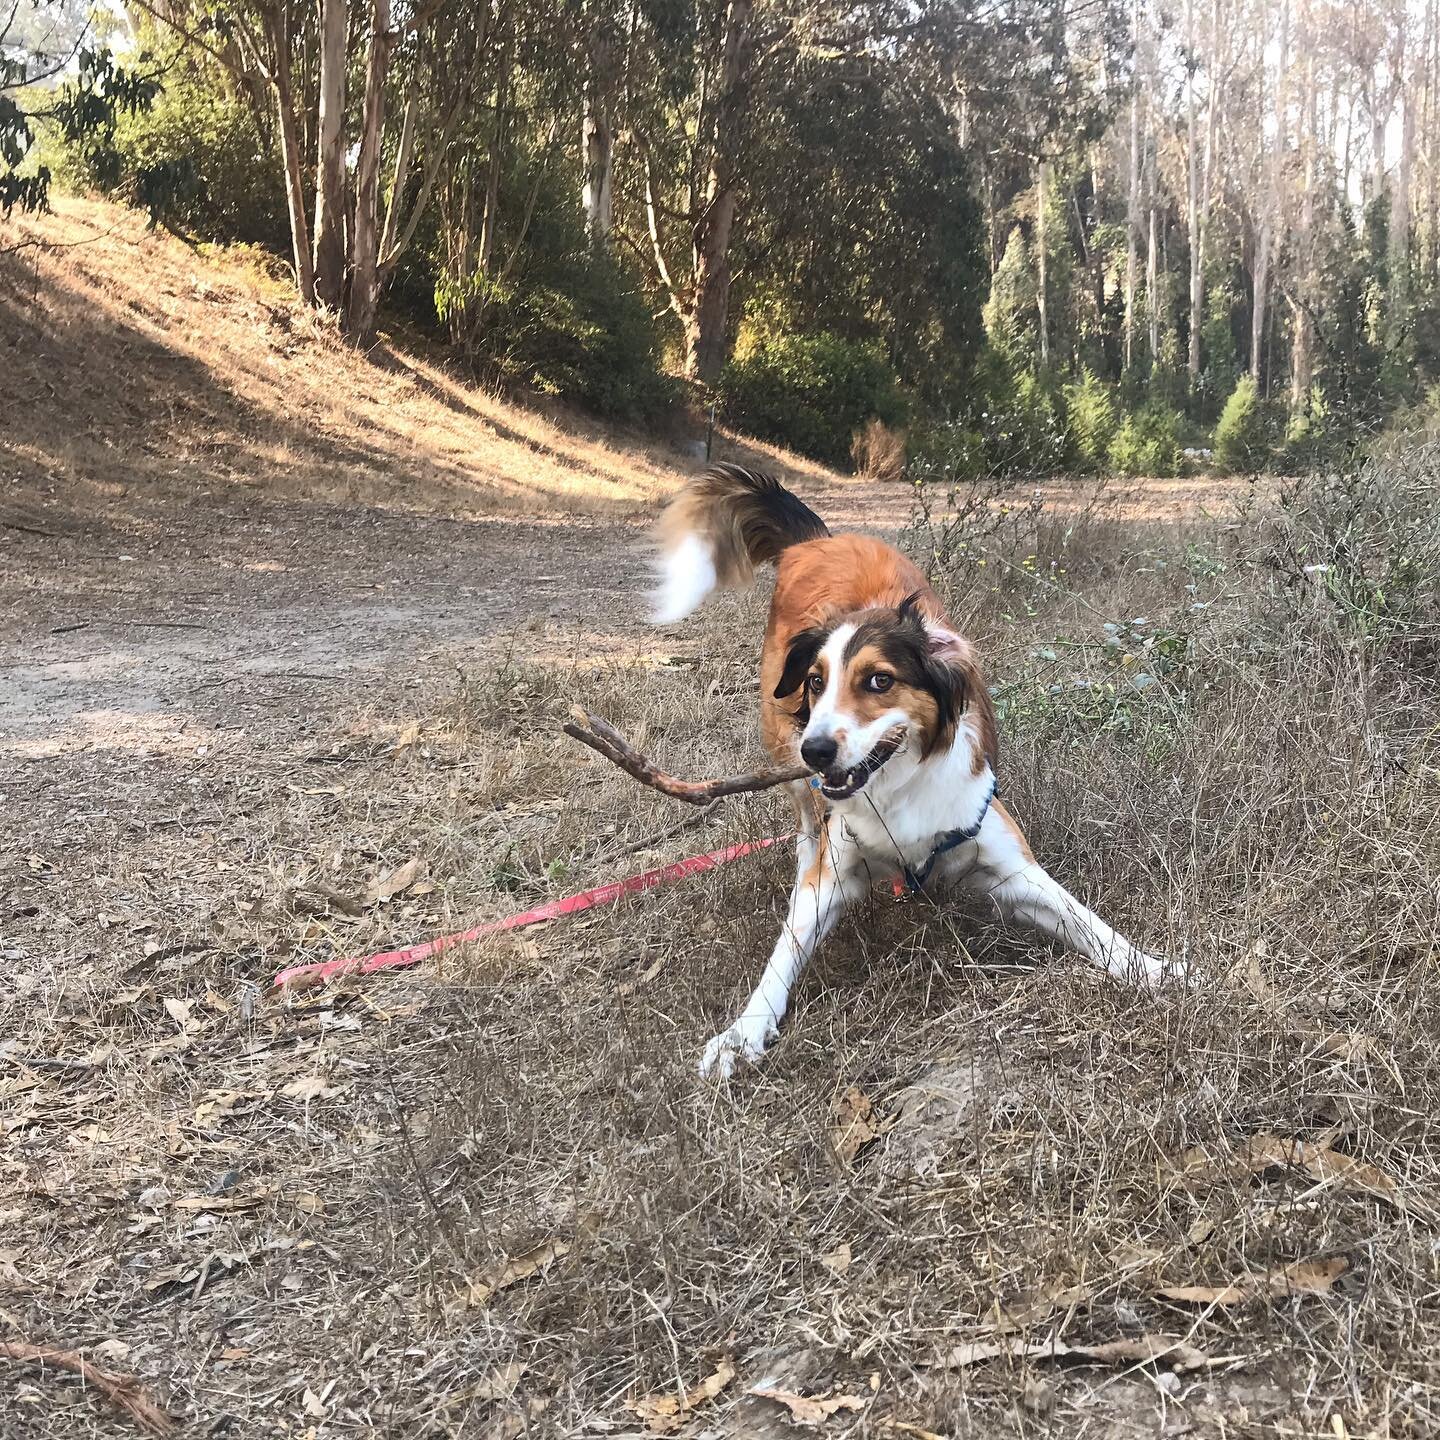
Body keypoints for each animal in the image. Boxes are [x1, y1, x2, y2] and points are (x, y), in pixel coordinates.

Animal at [653, 463, 1169, 1082]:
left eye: (880, 680)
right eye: (817, 682)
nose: (818, 750)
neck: (897, 788)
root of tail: (820, 539)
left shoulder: (1006, 863)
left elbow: (1083, 918)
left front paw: (1152, 968)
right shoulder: (837, 868)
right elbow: (785, 951)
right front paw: (743, 1032)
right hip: (780, 742)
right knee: (805, 825)